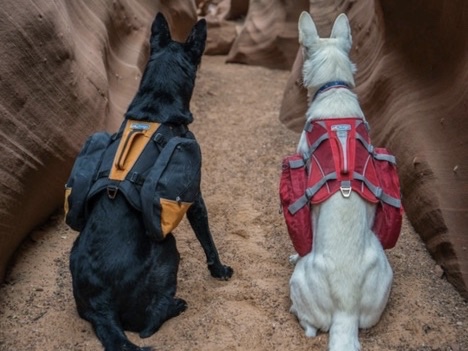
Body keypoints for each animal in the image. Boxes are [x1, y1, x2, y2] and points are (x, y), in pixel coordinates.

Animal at [69, 12, 234, 350]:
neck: (156, 109)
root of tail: (101, 307)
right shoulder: (195, 198)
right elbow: (208, 240)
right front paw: (219, 270)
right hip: (167, 248)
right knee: (148, 324)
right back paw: (175, 306)